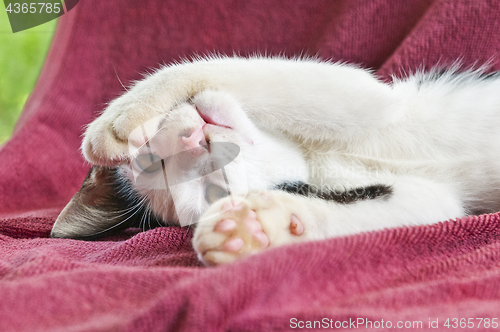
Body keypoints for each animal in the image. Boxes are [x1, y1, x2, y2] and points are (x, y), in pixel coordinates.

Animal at [50, 56, 500, 264]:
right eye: (214, 191)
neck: (318, 158)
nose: (193, 138)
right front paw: (257, 228)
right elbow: (419, 210)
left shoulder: (368, 98)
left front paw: (120, 120)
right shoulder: (434, 198)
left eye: (151, 163)